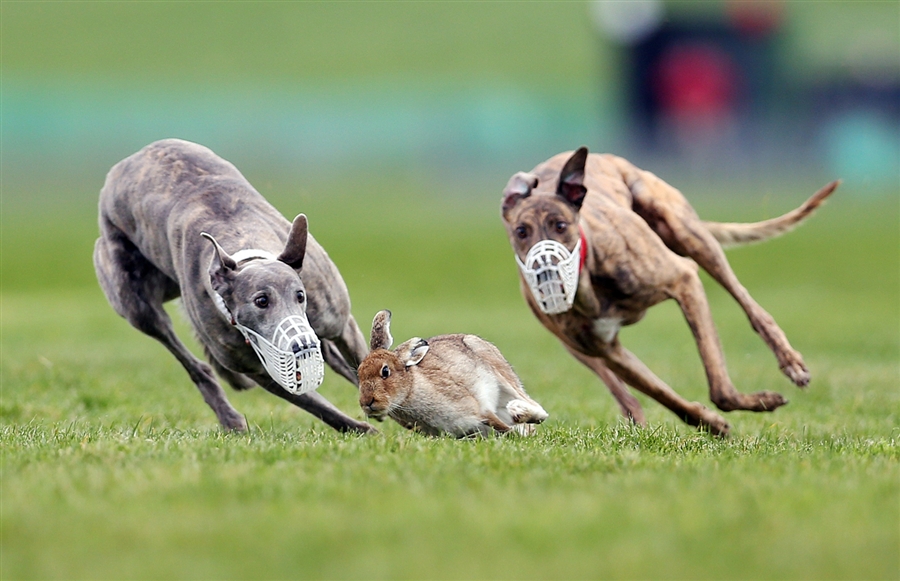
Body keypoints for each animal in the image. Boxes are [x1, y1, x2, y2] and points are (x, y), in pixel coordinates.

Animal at [97, 138, 376, 432]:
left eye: (300, 296)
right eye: (261, 301)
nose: (301, 345)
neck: (244, 245)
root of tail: (131, 159)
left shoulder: (340, 324)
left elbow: (366, 364)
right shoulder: (258, 369)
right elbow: (316, 404)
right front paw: (362, 429)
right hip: (135, 302)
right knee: (188, 358)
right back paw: (229, 417)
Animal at [500, 147, 836, 438]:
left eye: (560, 225)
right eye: (521, 231)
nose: (545, 273)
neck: (588, 284)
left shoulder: (684, 281)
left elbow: (720, 390)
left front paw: (755, 404)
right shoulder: (608, 350)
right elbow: (665, 396)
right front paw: (712, 423)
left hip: (685, 231)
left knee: (747, 302)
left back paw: (790, 361)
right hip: (575, 347)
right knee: (622, 393)